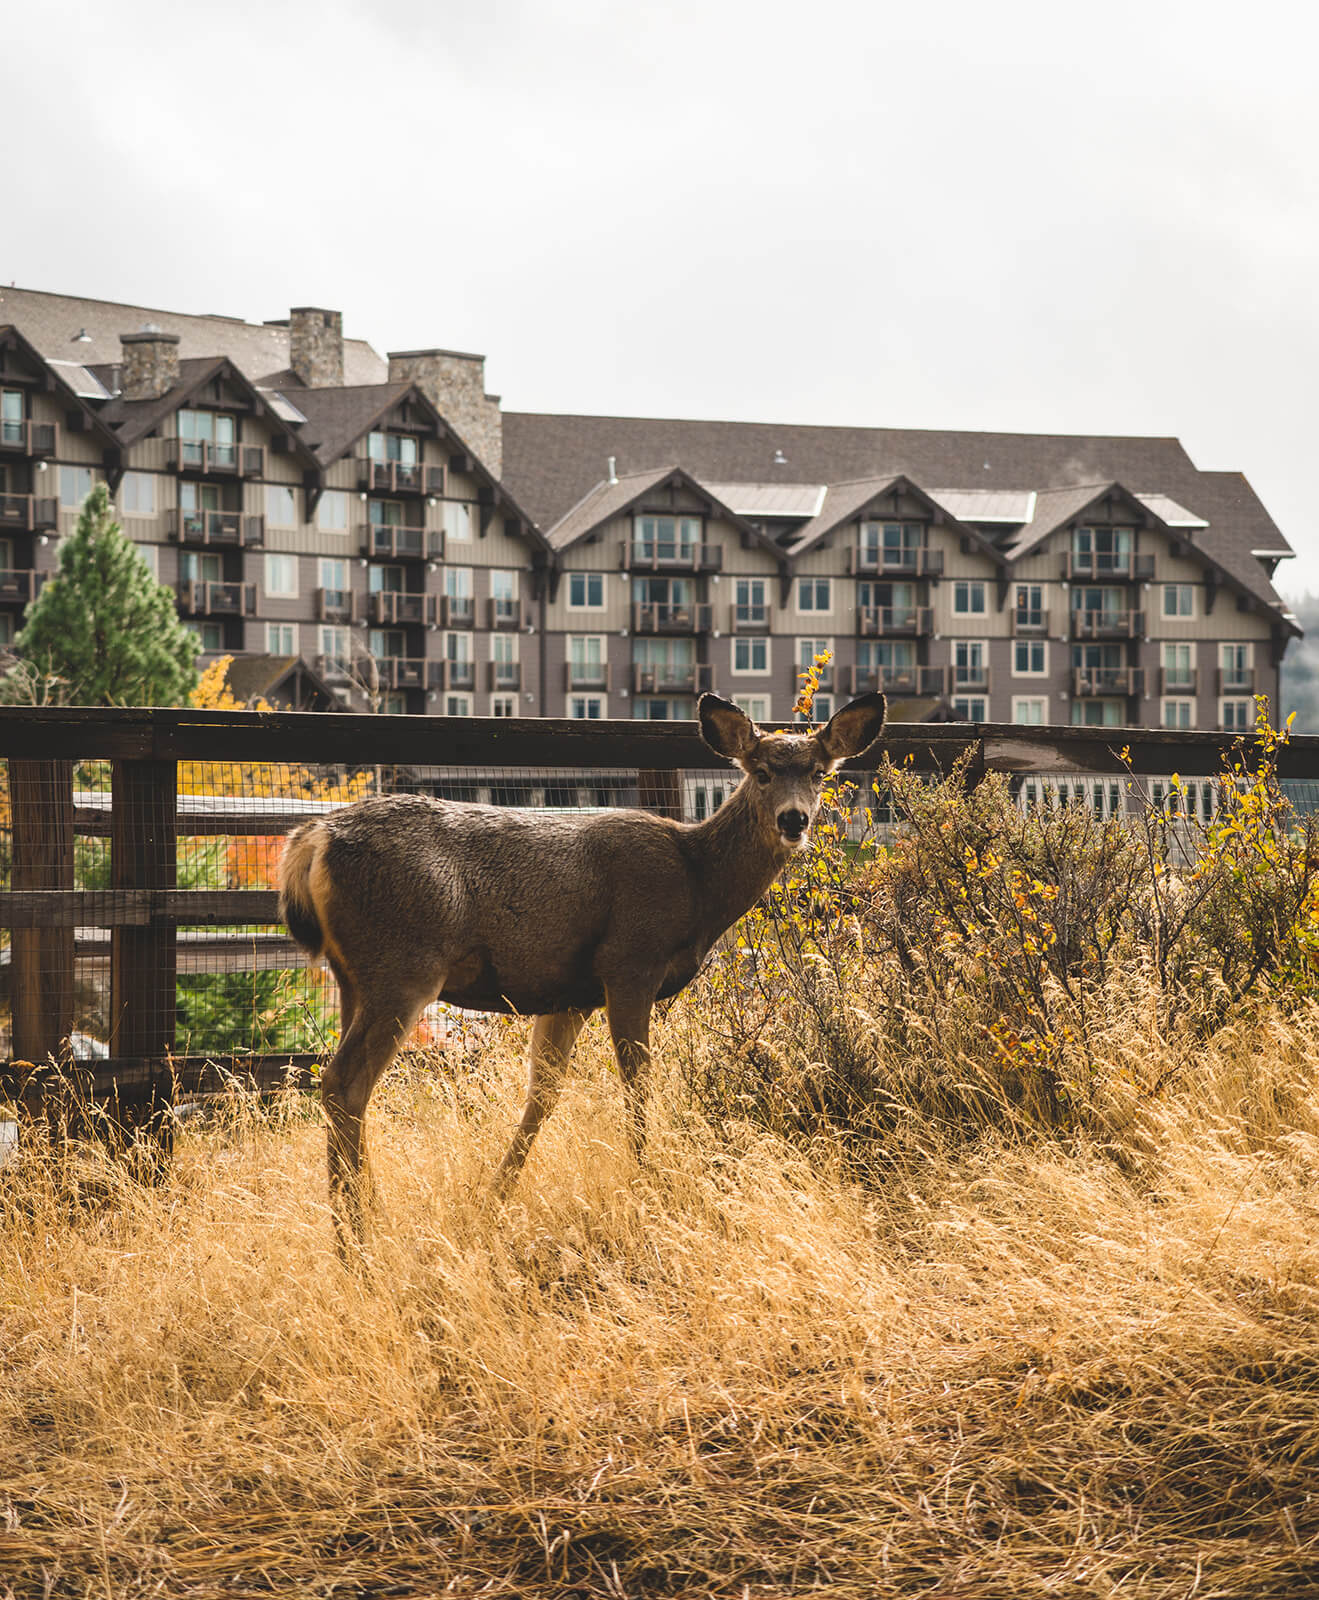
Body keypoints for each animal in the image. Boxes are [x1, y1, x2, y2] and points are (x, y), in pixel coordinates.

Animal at [276, 691, 883, 1248]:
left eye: (819, 773)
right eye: (760, 772)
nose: (794, 819)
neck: (696, 884)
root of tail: (313, 841)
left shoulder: (568, 995)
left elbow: (542, 1097)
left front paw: (491, 1199)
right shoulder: (629, 961)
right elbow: (638, 1084)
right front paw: (652, 1183)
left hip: (354, 976)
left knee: (341, 1083)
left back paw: (361, 1217)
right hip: (405, 965)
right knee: (345, 1083)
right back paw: (357, 1239)